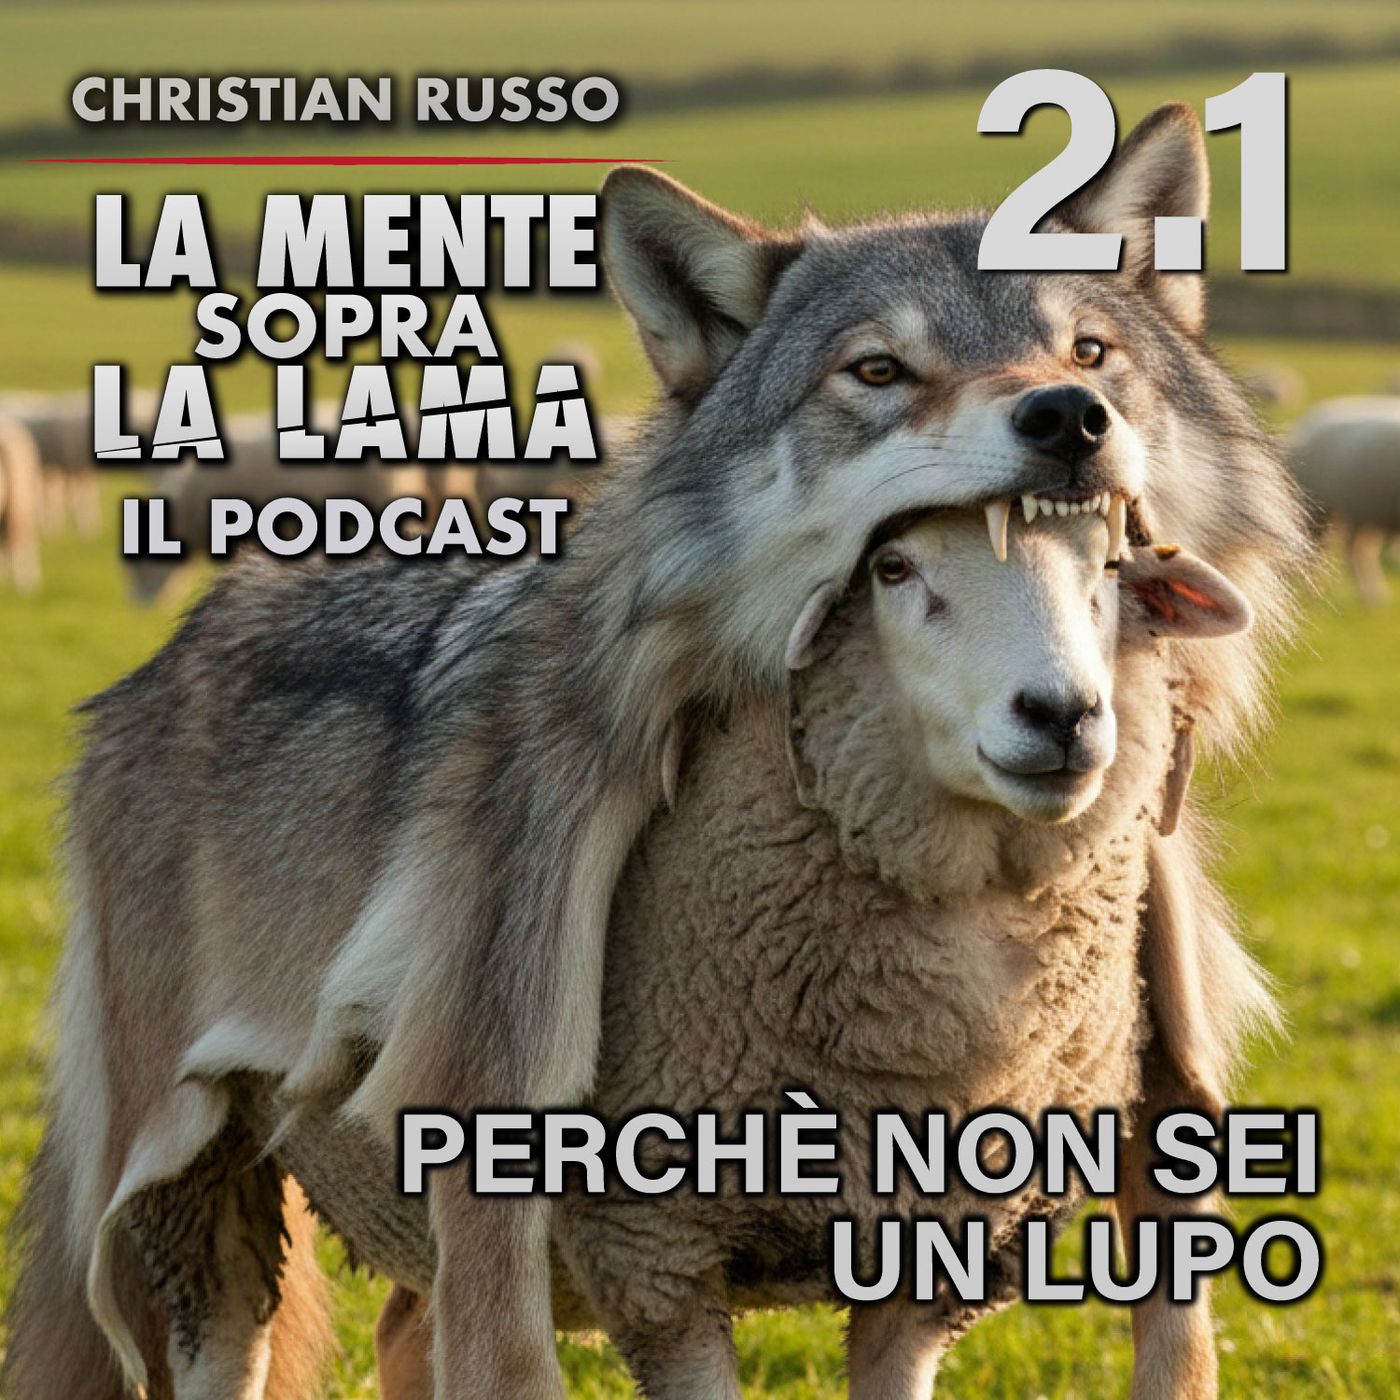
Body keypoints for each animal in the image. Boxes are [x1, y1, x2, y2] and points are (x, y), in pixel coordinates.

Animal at [4, 103, 1312, 1399]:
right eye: (876, 371)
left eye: (1088, 352)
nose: (1065, 418)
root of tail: (202, 622)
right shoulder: (648, 1255)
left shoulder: (921, 1263)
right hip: (197, 1176)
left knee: (404, 1336)